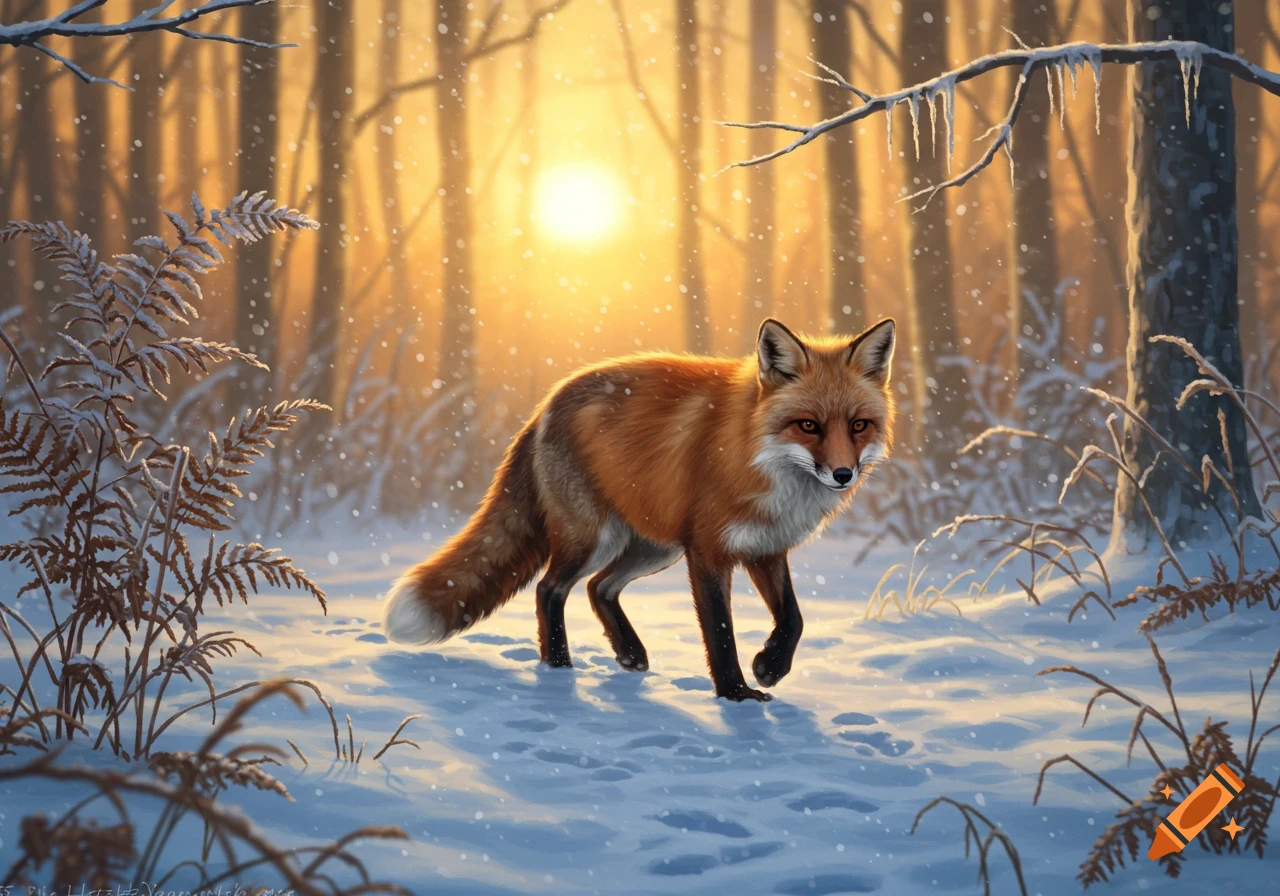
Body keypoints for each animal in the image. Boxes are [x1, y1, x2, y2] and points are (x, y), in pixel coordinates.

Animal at [383, 317, 896, 701]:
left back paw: (629, 654)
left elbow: (794, 618)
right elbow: (721, 631)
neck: (755, 454)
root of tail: (545, 404)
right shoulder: (707, 551)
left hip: (654, 547)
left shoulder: (766, 548)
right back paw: (559, 671)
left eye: (858, 425)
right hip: (594, 538)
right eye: (808, 425)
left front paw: (770, 666)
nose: (843, 474)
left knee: (599, 587)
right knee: (550, 589)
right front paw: (736, 696)